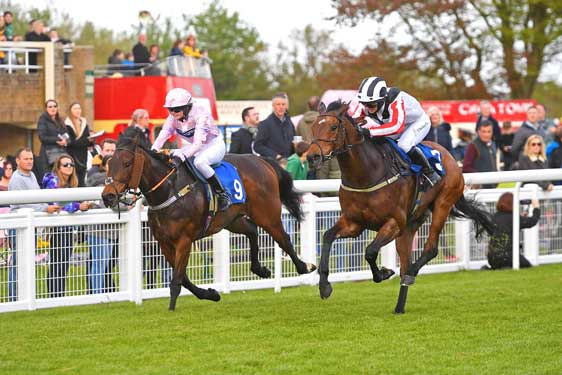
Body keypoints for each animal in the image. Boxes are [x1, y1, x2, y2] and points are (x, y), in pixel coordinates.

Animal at [101, 137, 316, 312]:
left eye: (127, 163)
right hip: (231, 220)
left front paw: (171, 308)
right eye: (109, 163)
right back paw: (260, 269)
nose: (107, 196)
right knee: (252, 231)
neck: (170, 190)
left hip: (267, 214)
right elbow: (184, 278)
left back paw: (305, 266)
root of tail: (262, 160)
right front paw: (211, 294)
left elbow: (177, 279)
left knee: (283, 239)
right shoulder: (164, 242)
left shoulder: (184, 240)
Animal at [306, 100, 494, 314]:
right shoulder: (354, 223)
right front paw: (324, 286)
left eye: (333, 127)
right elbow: (327, 236)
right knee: (405, 262)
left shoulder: (394, 222)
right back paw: (399, 306)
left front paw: (384, 272)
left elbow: (370, 251)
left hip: (443, 204)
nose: (312, 157)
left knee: (429, 250)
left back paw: (411, 274)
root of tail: (450, 156)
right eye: (313, 127)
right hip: (410, 225)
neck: (366, 175)